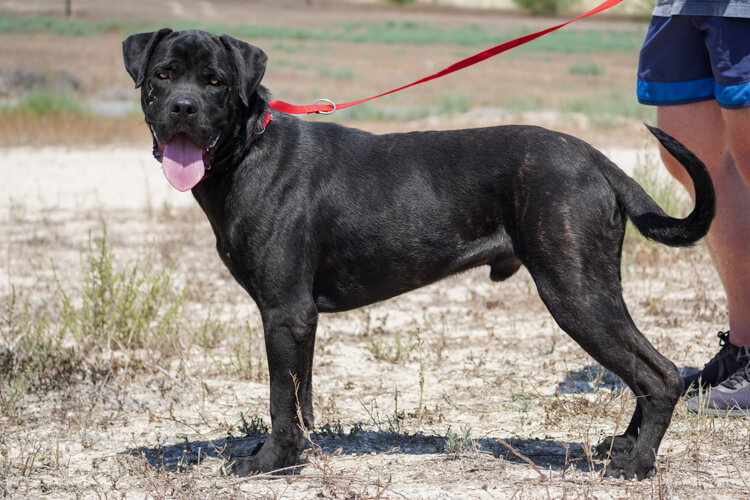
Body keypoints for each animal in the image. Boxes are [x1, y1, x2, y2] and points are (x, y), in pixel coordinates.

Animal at [123, 28, 716, 480]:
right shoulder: (299, 319)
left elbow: (279, 399)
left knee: (660, 374)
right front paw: (294, 453)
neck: (247, 150)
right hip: (592, 288)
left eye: (215, 81)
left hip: (574, 291)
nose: (182, 107)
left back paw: (635, 465)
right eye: (162, 75)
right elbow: (300, 394)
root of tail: (596, 158)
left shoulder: (284, 312)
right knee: (643, 371)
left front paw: (268, 462)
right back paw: (622, 446)